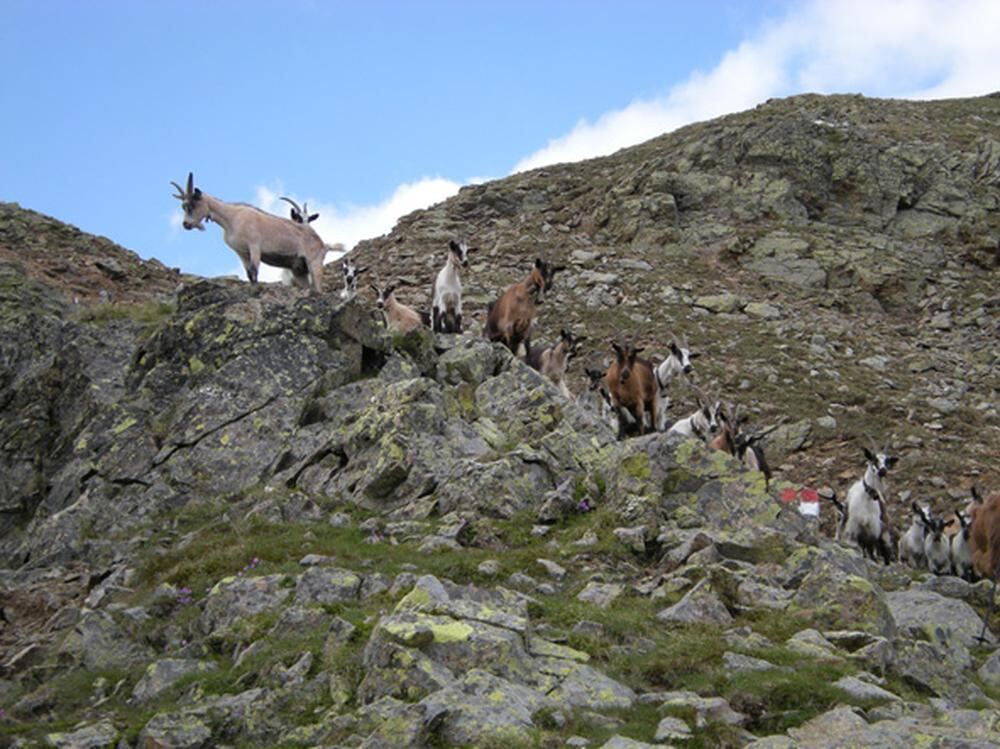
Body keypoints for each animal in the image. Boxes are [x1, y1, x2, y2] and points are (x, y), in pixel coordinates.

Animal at [172, 172, 328, 292]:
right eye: (183, 206)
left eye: (193, 203)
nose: (186, 224)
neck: (232, 218)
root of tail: (321, 242)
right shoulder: (241, 252)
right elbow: (248, 274)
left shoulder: (254, 245)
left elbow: (254, 270)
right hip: (299, 269)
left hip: (314, 262)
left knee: (318, 286)